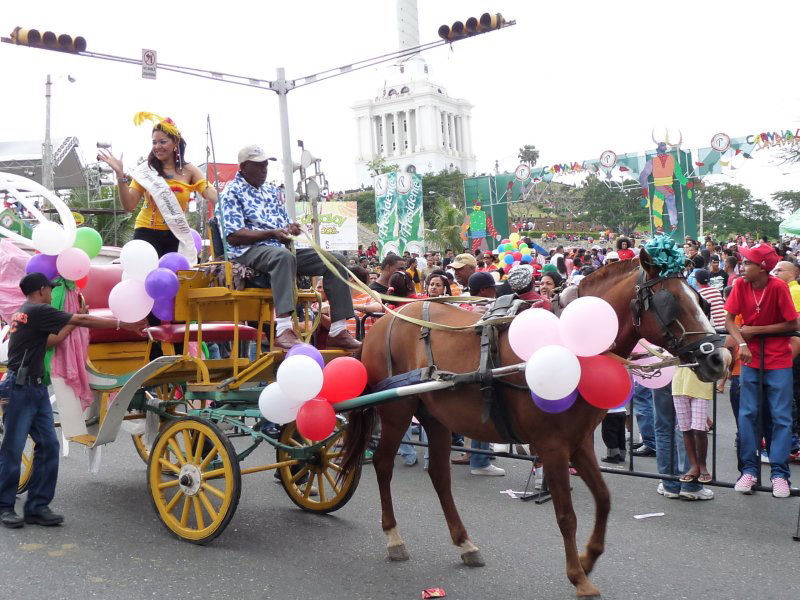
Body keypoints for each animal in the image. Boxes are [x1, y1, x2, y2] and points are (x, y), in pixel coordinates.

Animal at [340, 246, 728, 596]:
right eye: (670, 301)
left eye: (700, 299)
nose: (719, 359)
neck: (570, 347)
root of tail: (385, 319)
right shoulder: (553, 446)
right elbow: (566, 513)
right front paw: (579, 577)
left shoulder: (580, 442)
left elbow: (603, 499)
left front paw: (588, 558)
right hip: (395, 411)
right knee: (384, 464)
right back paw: (393, 536)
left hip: (435, 417)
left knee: (439, 474)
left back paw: (465, 542)